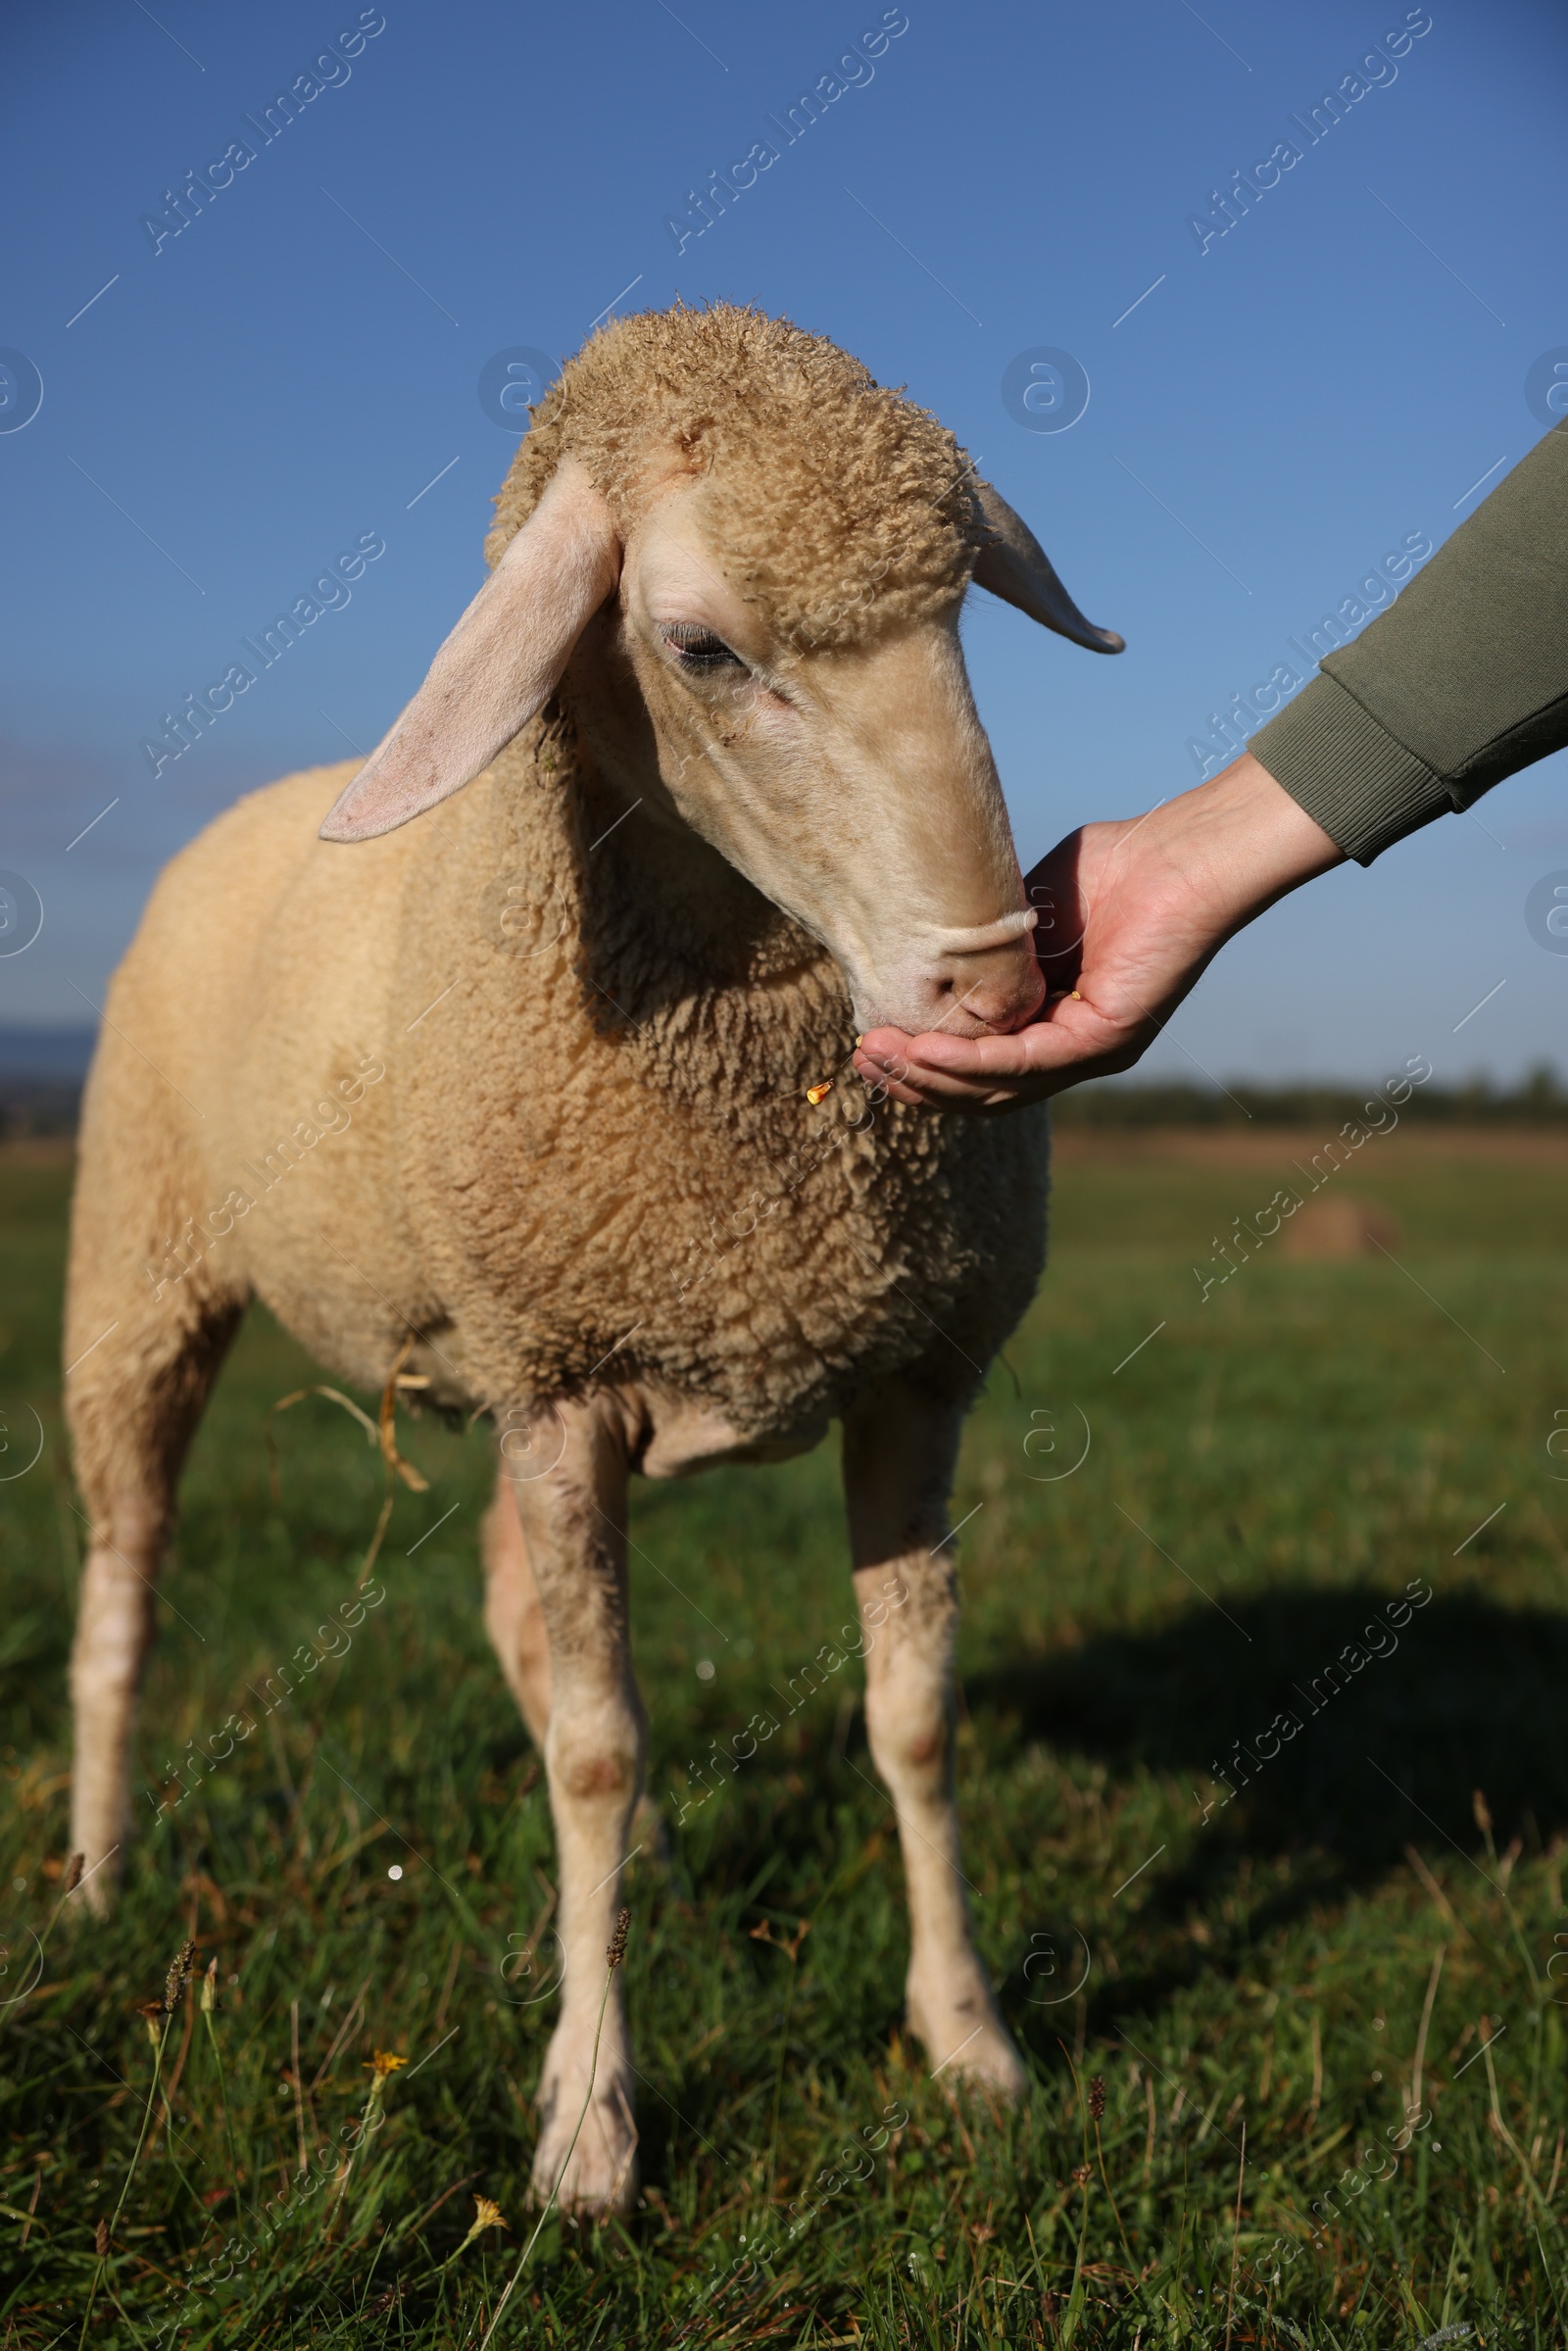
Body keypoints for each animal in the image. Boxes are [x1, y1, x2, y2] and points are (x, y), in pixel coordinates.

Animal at [61, 303, 1114, 2210]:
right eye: (701, 646)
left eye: (959, 615)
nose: (996, 986)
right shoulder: (563, 1389)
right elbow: (598, 1744)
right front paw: (588, 2126)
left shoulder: (900, 1378)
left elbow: (912, 1715)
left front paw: (970, 2039)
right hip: (147, 1270)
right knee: (128, 1586)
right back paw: (97, 1872)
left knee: (506, 1613)